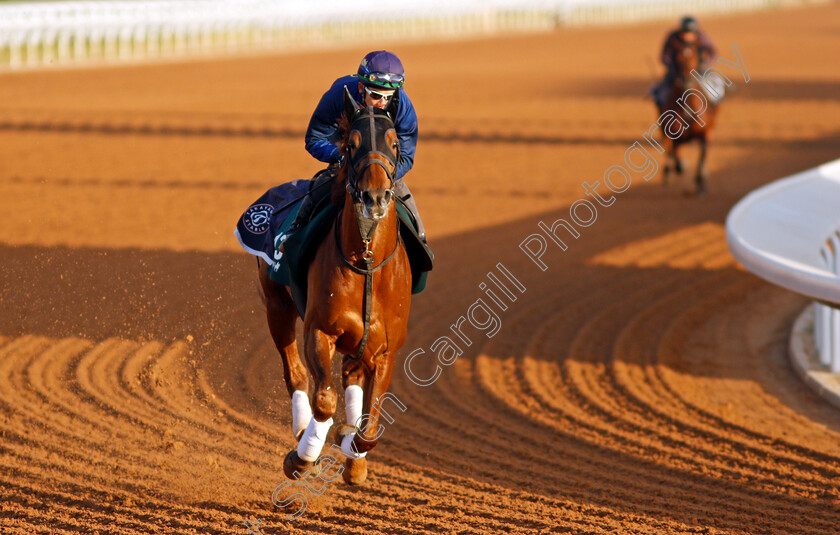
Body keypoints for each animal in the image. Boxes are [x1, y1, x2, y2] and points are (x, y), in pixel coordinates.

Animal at [258, 87, 412, 486]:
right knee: (296, 374)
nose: (375, 197)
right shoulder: (320, 330)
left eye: (395, 144)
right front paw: (300, 459)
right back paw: (302, 432)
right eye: (351, 144)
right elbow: (324, 400)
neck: (367, 260)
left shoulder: (385, 350)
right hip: (276, 303)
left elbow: (370, 428)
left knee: (350, 378)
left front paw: (353, 455)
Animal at [656, 40, 720, 197]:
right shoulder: (672, 134)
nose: (685, 79)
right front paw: (678, 168)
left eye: (694, 57)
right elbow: (673, 152)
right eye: (677, 58)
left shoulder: (705, 133)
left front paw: (701, 183)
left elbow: (703, 155)